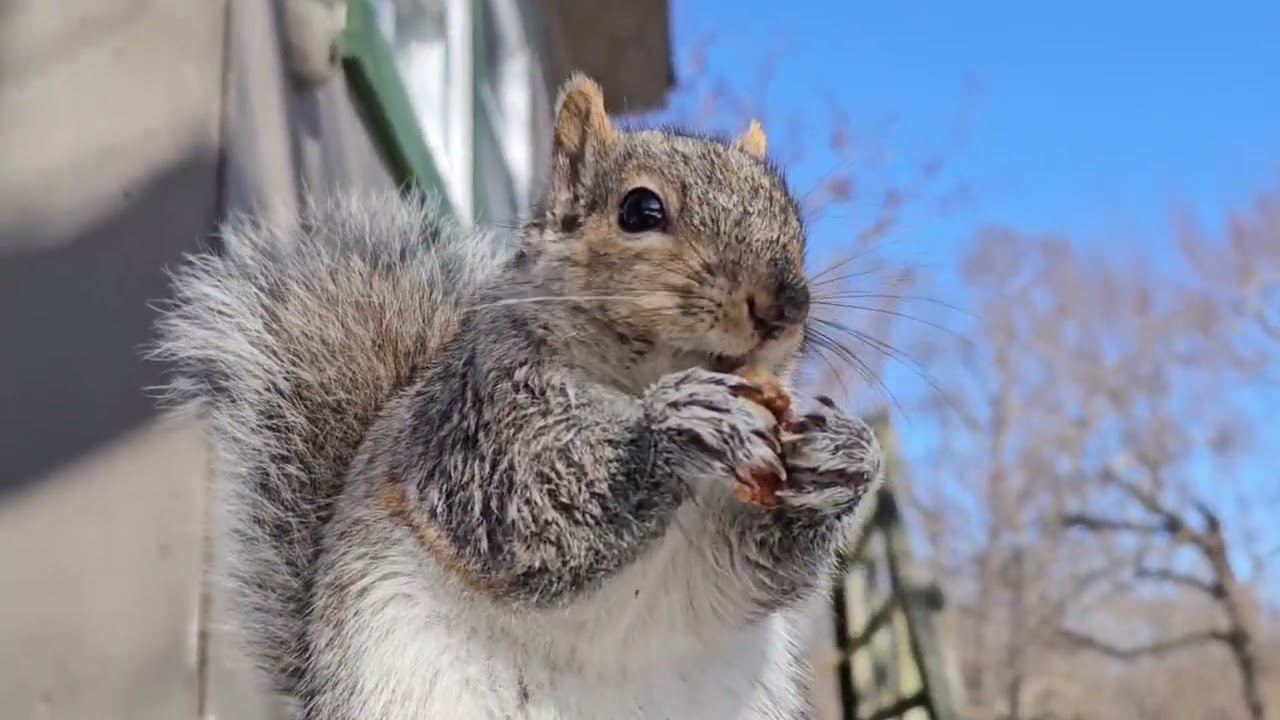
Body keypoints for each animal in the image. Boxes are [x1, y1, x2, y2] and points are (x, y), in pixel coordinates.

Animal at [154, 73, 885, 720]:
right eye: (640, 210)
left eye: (791, 216)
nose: (784, 306)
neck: (633, 380)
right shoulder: (478, 424)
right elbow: (534, 507)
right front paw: (681, 425)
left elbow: (758, 571)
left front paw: (843, 458)